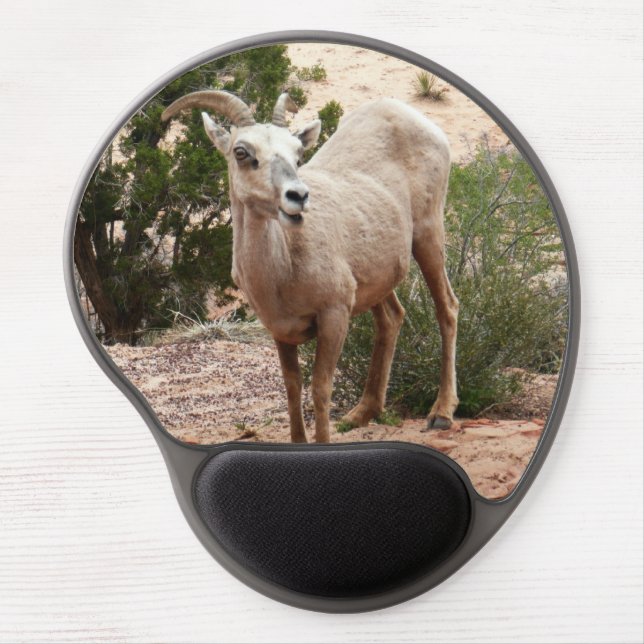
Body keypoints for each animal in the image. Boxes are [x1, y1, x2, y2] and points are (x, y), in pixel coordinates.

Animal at [161, 90, 459, 443]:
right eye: (241, 152)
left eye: (298, 153)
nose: (298, 196)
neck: (282, 271)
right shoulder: (280, 330)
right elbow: (293, 388)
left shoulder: (334, 315)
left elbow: (320, 388)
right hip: (377, 276)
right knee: (391, 318)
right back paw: (360, 415)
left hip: (428, 235)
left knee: (447, 308)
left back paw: (441, 414)